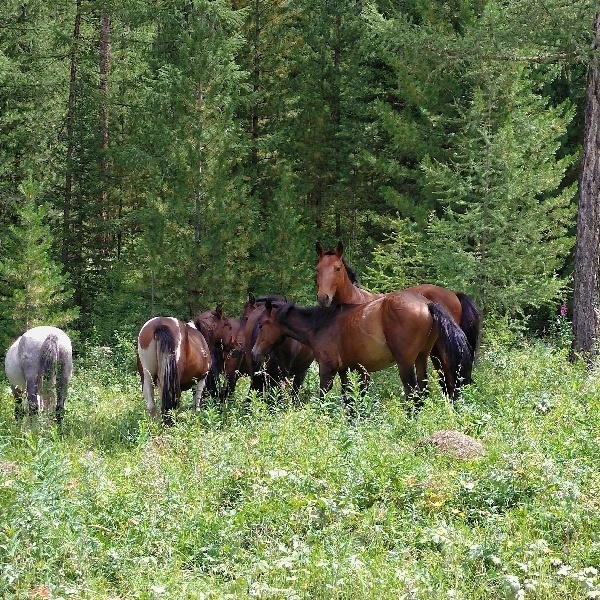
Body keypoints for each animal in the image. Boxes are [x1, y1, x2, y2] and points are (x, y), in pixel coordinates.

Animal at [251, 292, 472, 410]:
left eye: (261, 324)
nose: (255, 353)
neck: (322, 324)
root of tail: (426, 303)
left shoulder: (327, 369)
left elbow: (323, 396)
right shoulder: (346, 371)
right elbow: (349, 399)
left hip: (406, 363)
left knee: (412, 393)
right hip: (421, 359)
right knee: (422, 393)